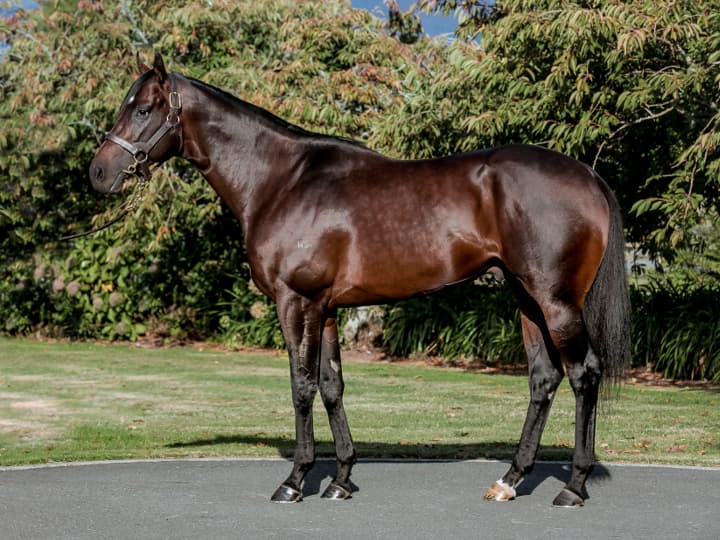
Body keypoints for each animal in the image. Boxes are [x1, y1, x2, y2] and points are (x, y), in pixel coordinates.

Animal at [88, 52, 632, 508]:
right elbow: (332, 385)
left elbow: (301, 385)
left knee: (584, 374)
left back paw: (573, 487)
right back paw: (511, 480)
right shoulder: (326, 308)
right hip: (526, 299)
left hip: (556, 300)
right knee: (544, 378)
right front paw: (341, 479)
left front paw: (295, 481)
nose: (98, 172)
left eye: (143, 109)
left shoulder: (296, 302)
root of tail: (587, 176)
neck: (281, 180)